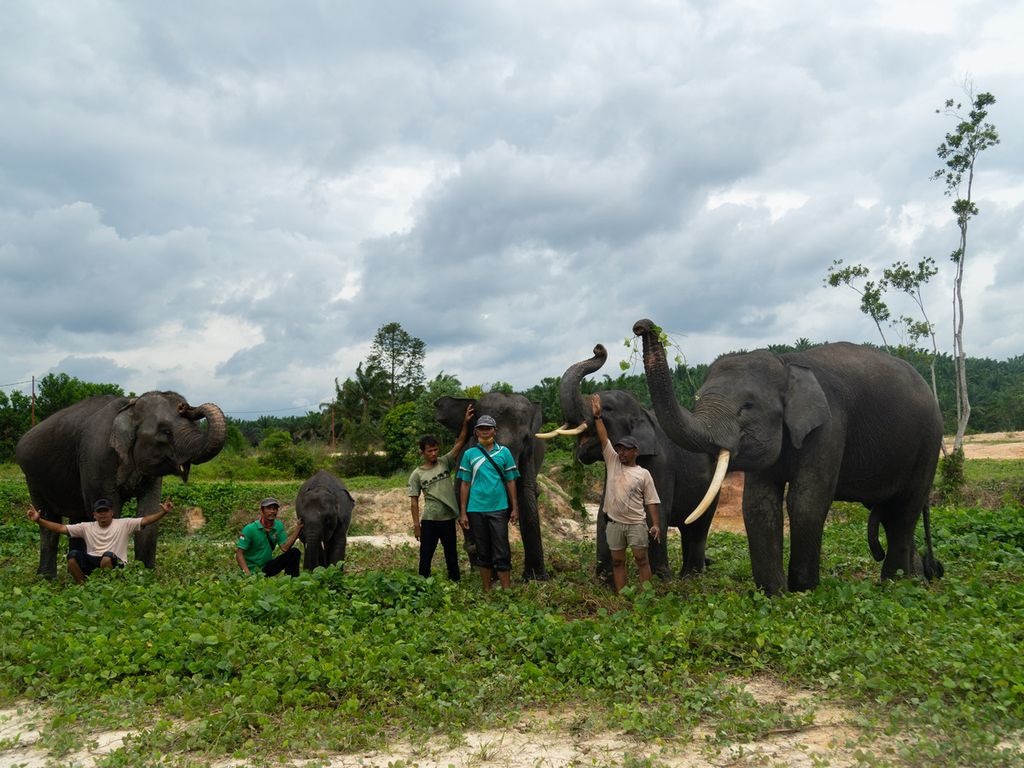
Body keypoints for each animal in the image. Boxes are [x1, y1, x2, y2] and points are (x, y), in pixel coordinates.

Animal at [14, 393, 226, 581]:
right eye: (165, 431)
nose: (184, 406)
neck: (131, 407)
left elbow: (148, 513)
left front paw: (145, 576)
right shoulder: (97, 457)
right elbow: (111, 510)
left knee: (76, 520)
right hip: (33, 477)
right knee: (49, 521)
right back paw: (47, 579)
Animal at [540, 344, 716, 581]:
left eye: (607, 408)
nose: (598, 348)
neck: (642, 413)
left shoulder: (660, 463)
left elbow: (655, 511)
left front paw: (661, 580)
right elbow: (604, 515)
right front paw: (604, 580)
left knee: (698, 526)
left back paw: (690, 577)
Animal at [630, 319, 942, 593]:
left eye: (747, 406)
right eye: (697, 399)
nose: (642, 326)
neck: (786, 364)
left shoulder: (829, 425)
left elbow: (806, 501)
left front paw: (804, 590)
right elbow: (760, 504)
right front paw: (774, 592)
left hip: (928, 443)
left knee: (904, 510)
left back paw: (897, 583)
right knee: (890, 513)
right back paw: (915, 577)